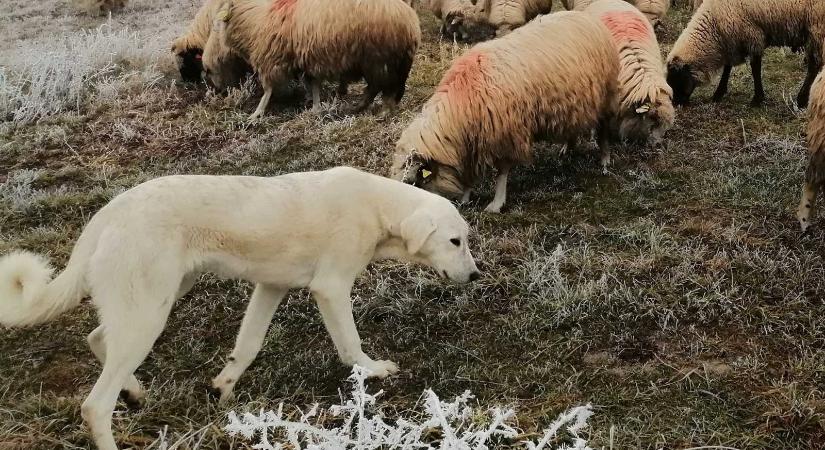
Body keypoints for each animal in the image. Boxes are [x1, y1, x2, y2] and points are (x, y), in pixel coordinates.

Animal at [0, 168, 480, 450]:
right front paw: (374, 371)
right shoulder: (331, 289)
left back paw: (134, 392)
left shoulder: (270, 286)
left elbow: (247, 345)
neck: (378, 207)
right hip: (149, 312)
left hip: (155, 299)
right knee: (94, 405)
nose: (476, 276)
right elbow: (350, 346)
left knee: (98, 337)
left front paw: (223, 387)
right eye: (455, 241)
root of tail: (107, 213)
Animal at [200, 0, 418, 118]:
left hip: (379, 59)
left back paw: (382, 110)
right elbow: (312, 83)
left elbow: (268, 89)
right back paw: (358, 106)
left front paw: (257, 114)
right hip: (378, 61)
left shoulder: (270, 59)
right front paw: (315, 106)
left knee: (382, 87)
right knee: (376, 88)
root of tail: (410, 21)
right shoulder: (307, 58)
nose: (216, 91)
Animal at [392, 11, 616, 214]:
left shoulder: (506, 132)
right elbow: (470, 173)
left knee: (604, 127)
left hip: (605, 93)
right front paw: (466, 196)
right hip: (573, 101)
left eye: (413, 182)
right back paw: (567, 147)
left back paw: (605, 159)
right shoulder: (473, 141)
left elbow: (502, 171)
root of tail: (586, 17)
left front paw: (496, 203)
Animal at [664, 0, 824, 107]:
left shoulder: (752, 35)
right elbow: (727, 68)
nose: (676, 104)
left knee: (814, 65)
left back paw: (801, 99)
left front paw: (757, 99)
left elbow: (755, 68)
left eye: (676, 78)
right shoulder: (732, 40)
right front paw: (719, 93)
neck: (714, 26)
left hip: (817, 26)